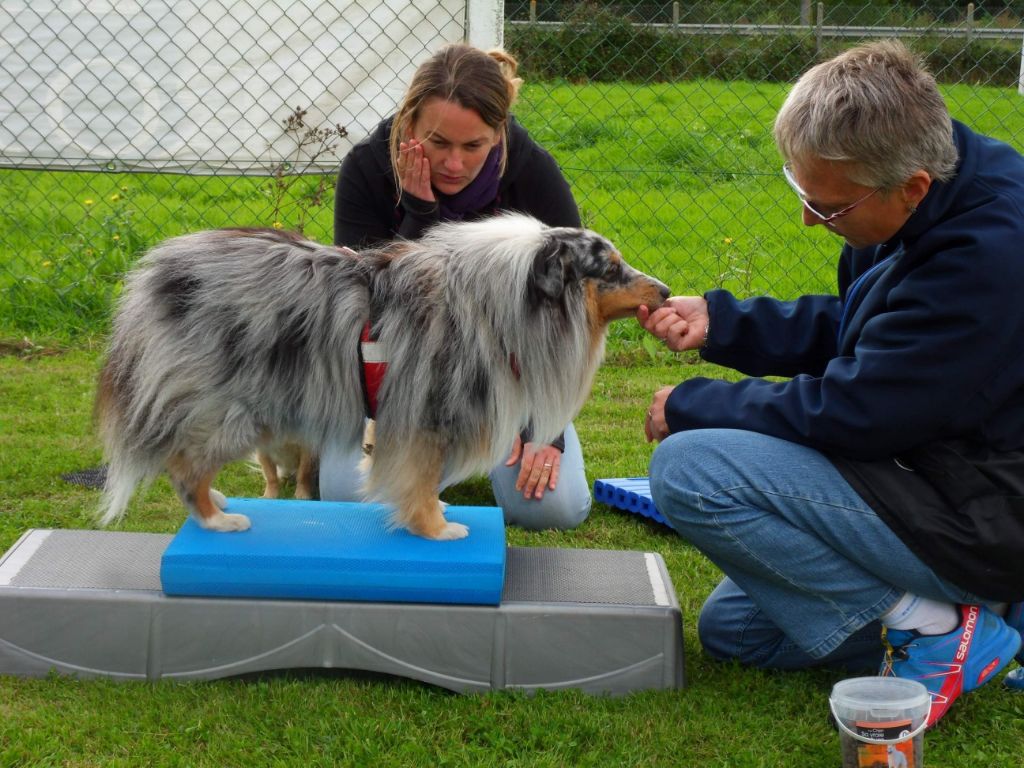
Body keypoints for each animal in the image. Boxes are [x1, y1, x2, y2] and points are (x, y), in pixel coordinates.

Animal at [94, 214, 671, 540]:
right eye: (611, 268)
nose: (667, 290)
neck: (505, 303)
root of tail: (156, 276)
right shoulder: (427, 416)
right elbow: (418, 481)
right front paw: (436, 529)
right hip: (236, 412)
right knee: (183, 465)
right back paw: (216, 518)